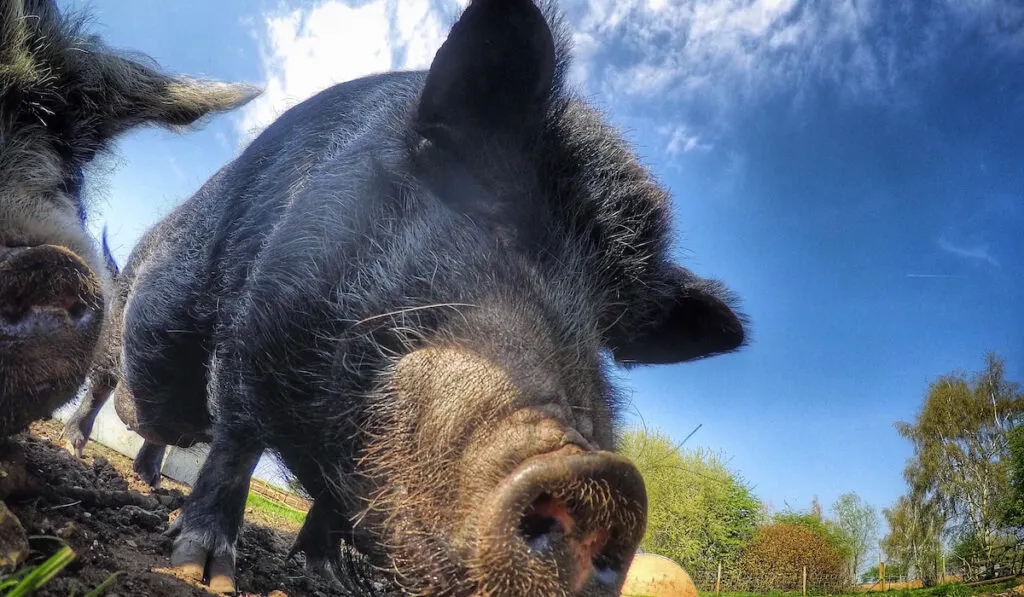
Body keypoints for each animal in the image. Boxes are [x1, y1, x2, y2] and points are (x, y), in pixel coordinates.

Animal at [112, 2, 749, 593]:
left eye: (607, 326)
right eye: (496, 217)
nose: (607, 478)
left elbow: (335, 507)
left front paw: (330, 579)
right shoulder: (259, 319)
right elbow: (236, 446)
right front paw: (203, 573)